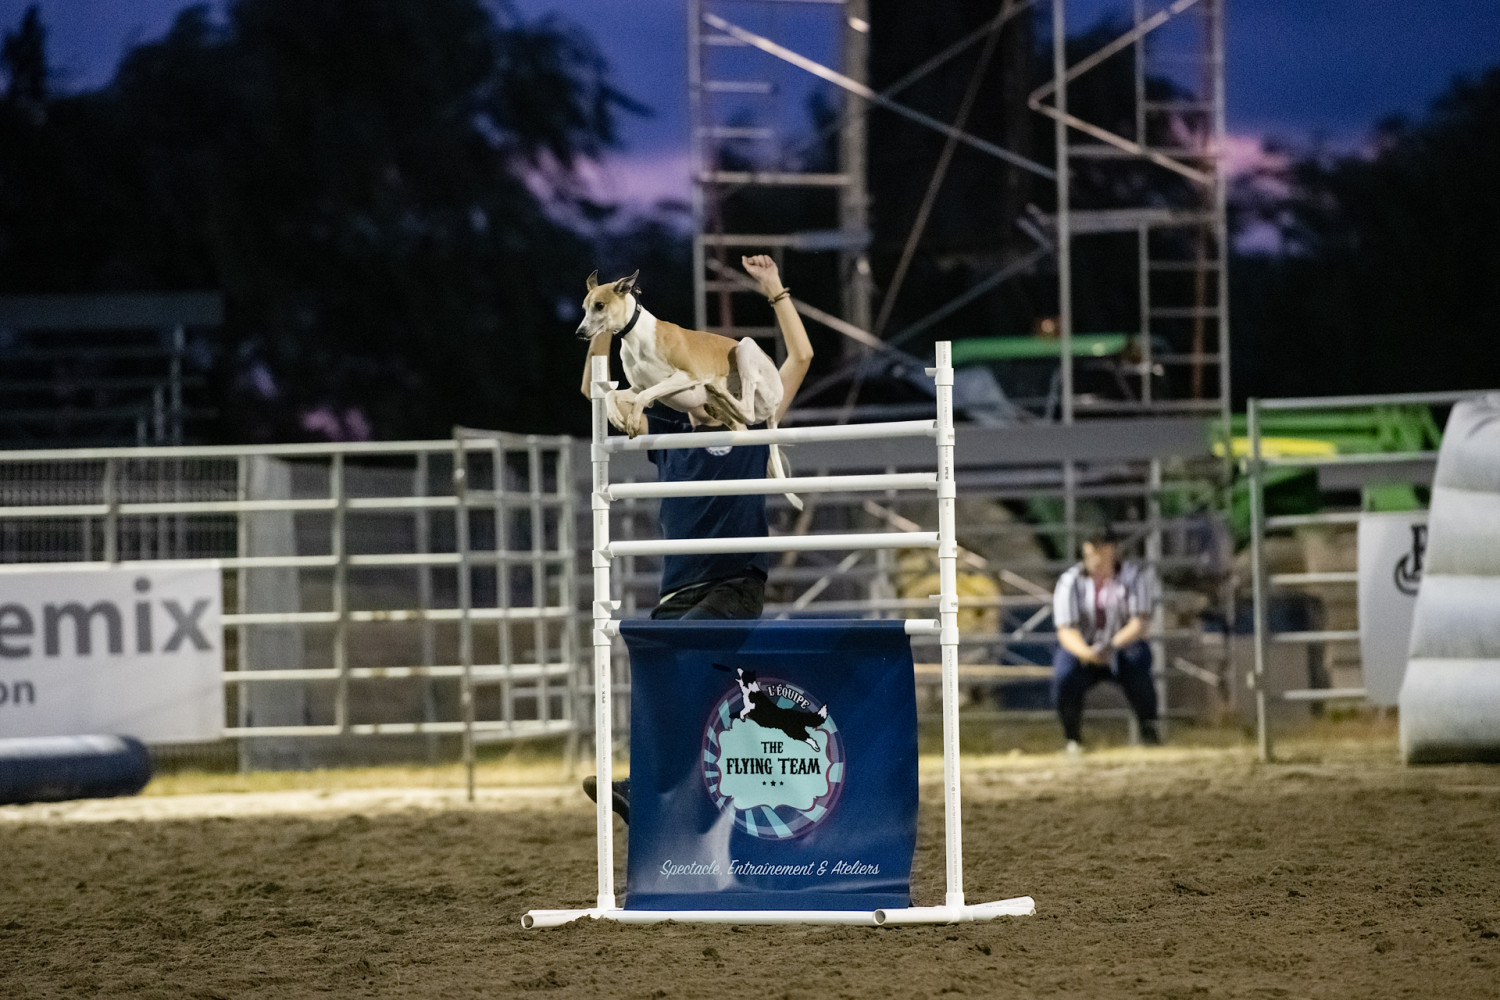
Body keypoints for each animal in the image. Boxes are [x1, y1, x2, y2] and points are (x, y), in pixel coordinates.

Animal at [576, 270, 801, 510]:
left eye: (599, 305)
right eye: (584, 307)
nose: (579, 332)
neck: (636, 334)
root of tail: (776, 408)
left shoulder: (687, 376)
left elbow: (643, 397)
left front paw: (633, 421)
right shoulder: (638, 387)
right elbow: (612, 393)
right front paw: (616, 417)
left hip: (746, 348)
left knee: (747, 410)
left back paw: (718, 391)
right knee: (739, 420)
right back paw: (718, 409)